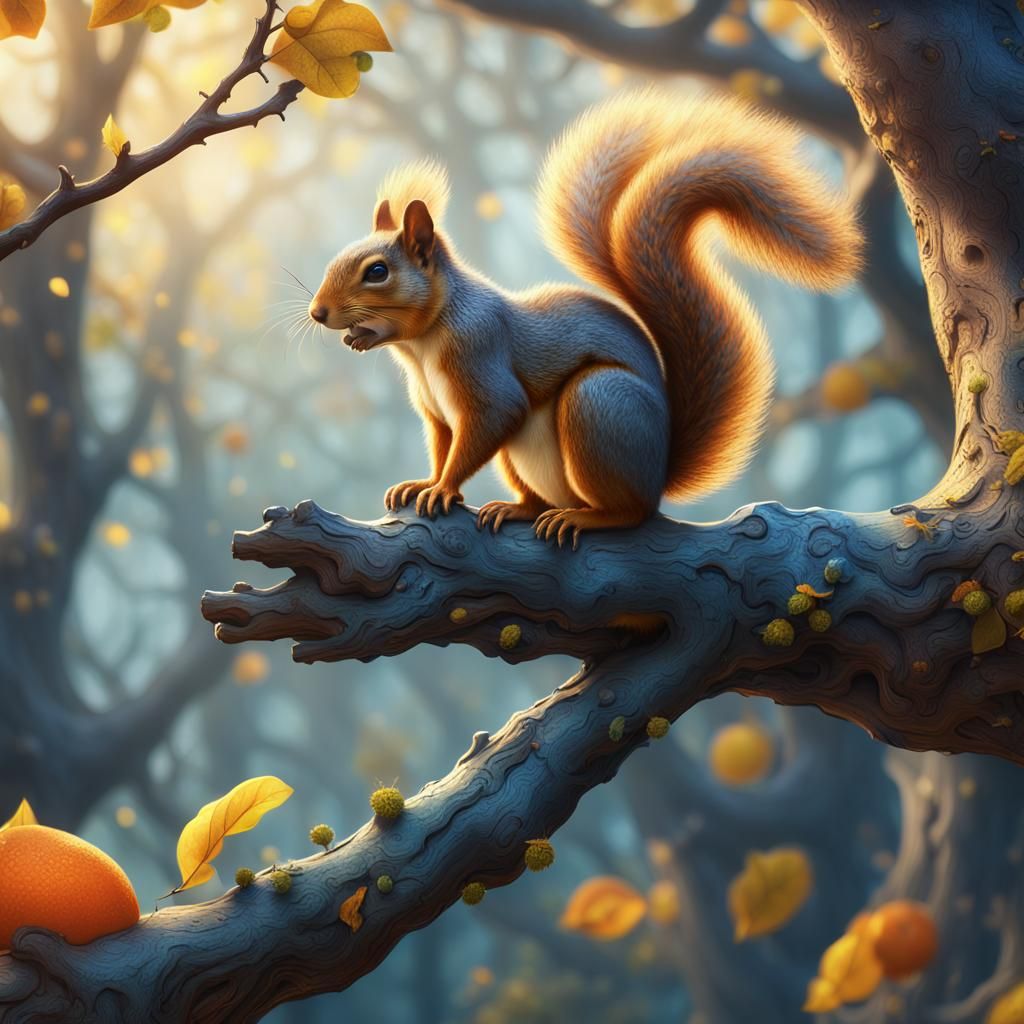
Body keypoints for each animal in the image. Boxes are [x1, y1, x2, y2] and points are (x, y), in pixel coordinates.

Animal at [308, 89, 862, 548]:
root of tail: (658, 472)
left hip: (598, 405)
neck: (422, 344)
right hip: (525, 455)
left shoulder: (482, 362)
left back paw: (586, 517)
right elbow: (444, 444)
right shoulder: (436, 411)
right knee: (541, 498)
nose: (318, 313)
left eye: (377, 272)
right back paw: (518, 508)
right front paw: (424, 481)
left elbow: (490, 420)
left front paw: (442, 489)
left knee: (630, 512)